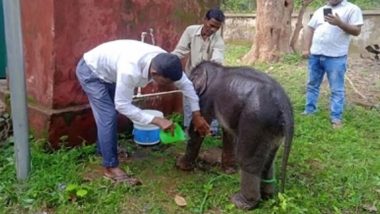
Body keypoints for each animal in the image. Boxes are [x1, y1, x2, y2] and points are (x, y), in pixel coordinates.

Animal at [177, 61, 296, 209]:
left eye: (191, 79)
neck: (216, 68)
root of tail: (284, 104)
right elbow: (228, 132)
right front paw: (229, 170)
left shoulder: (207, 97)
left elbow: (199, 127)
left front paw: (181, 165)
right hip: (274, 129)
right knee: (268, 160)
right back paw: (267, 196)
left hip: (255, 122)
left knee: (247, 159)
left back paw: (241, 202)